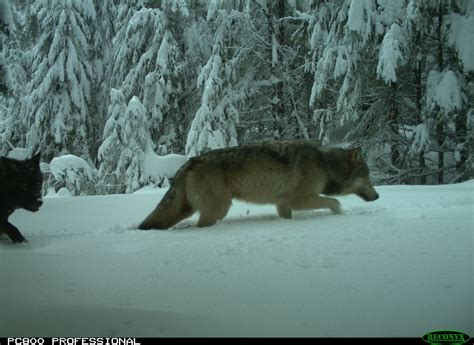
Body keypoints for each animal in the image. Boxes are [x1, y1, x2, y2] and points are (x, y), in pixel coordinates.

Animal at [137, 138, 378, 230]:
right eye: (368, 178)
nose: (377, 196)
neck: (326, 165)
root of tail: (191, 161)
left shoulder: (283, 204)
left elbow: (287, 217)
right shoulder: (299, 200)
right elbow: (335, 202)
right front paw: (341, 215)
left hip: (187, 209)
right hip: (218, 209)